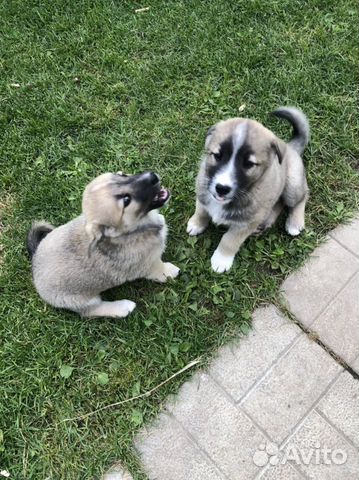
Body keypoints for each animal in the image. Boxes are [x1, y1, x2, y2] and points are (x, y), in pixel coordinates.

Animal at [26, 171, 180, 316]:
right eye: (126, 200)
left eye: (123, 175)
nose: (152, 176)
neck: (132, 231)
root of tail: (34, 261)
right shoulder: (148, 265)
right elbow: (160, 269)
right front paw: (169, 272)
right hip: (82, 301)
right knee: (91, 312)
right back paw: (122, 308)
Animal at [188, 108, 310, 274]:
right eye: (217, 155)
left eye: (249, 164)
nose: (221, 188)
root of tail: (291, 148)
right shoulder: (203, 194)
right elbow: (201, 211)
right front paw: (196, 224)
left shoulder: (245, 224)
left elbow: (229, 240)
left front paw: (221, 259)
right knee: (278, 203)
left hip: (292, 184)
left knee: (302, 196)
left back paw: (294, 223)